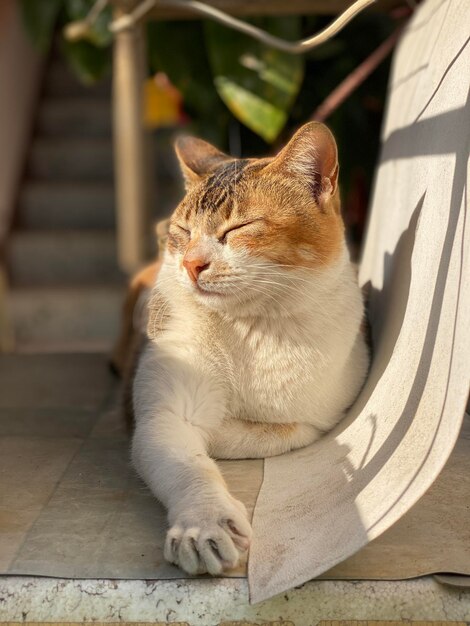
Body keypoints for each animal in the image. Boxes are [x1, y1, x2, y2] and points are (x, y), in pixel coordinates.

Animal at [130, 120, 370, 576]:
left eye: (238, 229)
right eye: (183, 232)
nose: (191, 263)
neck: (253, 329)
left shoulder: (325, 408)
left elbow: (283, 430)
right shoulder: (166, 404)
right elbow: (186, 457)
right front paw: (204, 523)